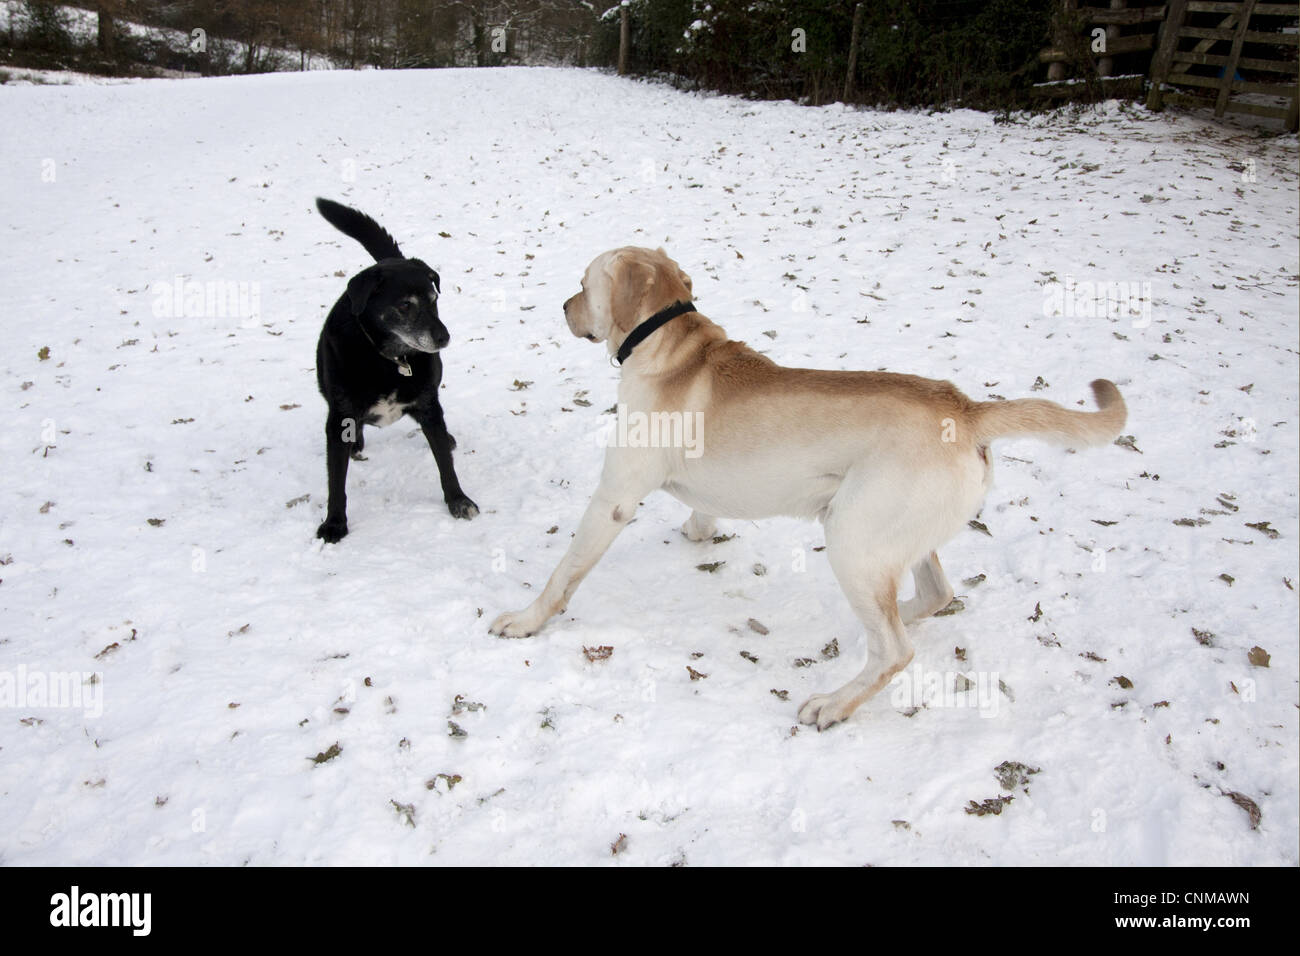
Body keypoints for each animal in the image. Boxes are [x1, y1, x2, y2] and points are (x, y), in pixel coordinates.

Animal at [313, 197, 478, 541]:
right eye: (405, 305)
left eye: (433, 299)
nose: (444, 337)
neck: (390, 359)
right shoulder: (338, 418)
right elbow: (336, 482)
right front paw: (335, 523)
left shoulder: (428, 404)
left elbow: (445, 463)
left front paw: (458, 500)